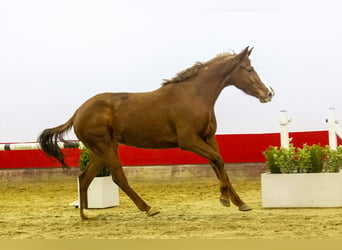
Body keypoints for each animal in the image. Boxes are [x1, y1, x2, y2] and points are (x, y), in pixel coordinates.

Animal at [38, 46, 272, 219]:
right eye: (249, 69)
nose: (268, 93)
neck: (194, 95)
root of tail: (78, 112)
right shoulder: (189, 141)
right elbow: (218, 160)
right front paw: (224, 199)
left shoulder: (208, 138)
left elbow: (220, 164)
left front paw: (240, 203)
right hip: (105, 147)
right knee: (118, 177)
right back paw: (149, 208)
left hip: (99, 152)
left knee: (84, 178)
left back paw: (86, 215)